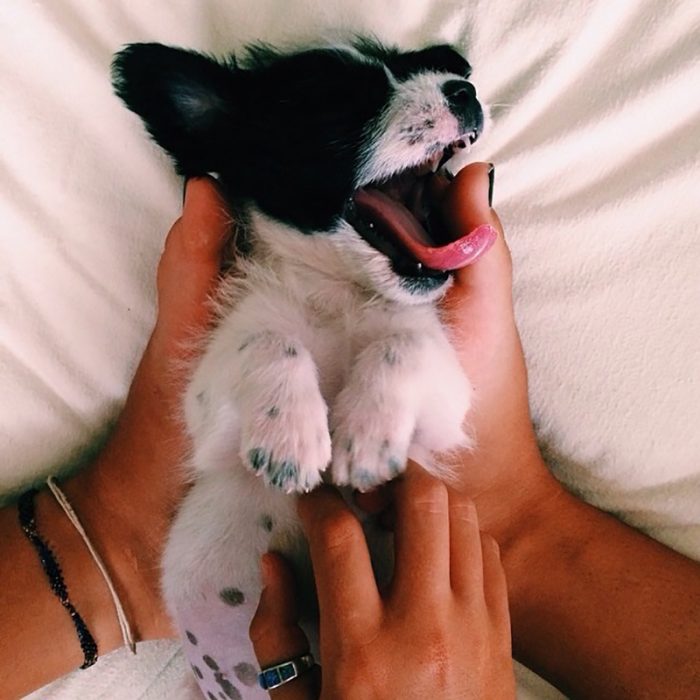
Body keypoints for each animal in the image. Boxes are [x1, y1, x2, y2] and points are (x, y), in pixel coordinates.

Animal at [113, 41, 486, 696]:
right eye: (338, 108)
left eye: (414, 67)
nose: (464, 88)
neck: (339, 294)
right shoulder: (206, 407)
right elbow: (270, 341)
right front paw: (289, 436)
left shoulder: (446, 400)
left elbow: (402, 345)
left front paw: (367, 436)